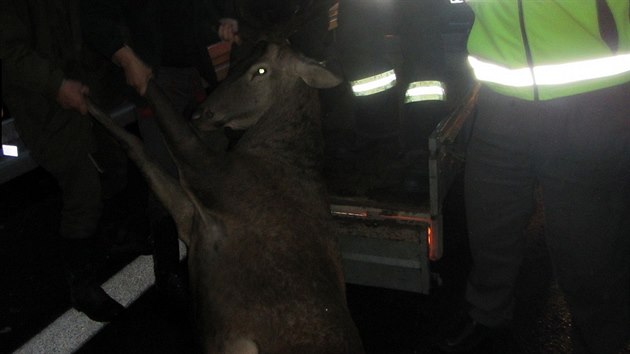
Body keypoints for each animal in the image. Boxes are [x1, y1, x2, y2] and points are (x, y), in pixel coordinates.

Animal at [87, 41, 368, 354]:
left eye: (260, 70)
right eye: (237, 60)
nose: (199, 114)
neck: (274, 147)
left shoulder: (207, 174)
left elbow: (153, 124)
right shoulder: (191, 220)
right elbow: (139, 149)